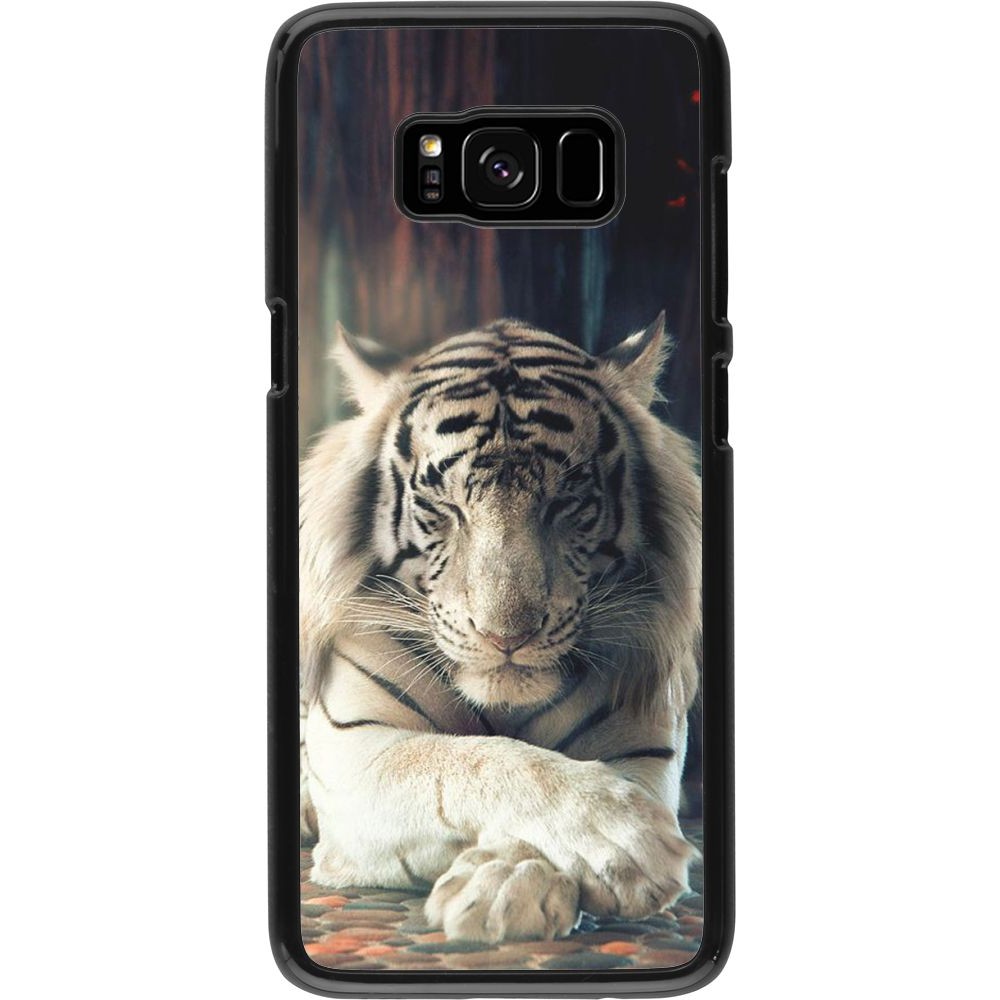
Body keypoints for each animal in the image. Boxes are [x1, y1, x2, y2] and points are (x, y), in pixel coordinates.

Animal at [299, 314, 702, 944]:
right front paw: (624, 838)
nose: (505, 636)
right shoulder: (356, 750)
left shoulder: (643, 748)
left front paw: (506, 885)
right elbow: (474, 760)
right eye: (443, 506)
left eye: (567, 502)